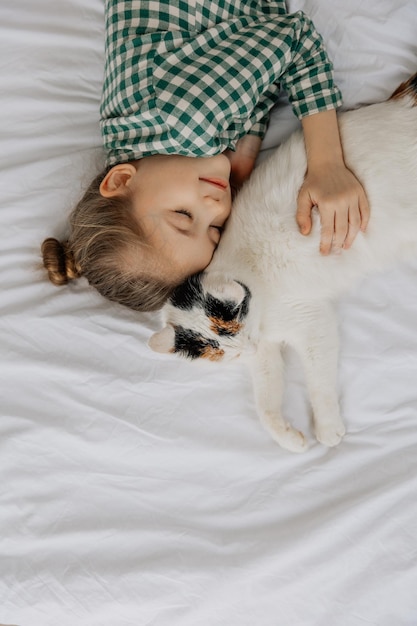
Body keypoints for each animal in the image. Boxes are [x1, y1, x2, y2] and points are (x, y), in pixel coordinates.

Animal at [150, 74, 416, 448]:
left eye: (234, 333)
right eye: (225, 353)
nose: (246, 349)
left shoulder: (313, 323)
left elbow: (318, 381)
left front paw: (327, 428)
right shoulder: (266, 352)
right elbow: (265, 401)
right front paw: (288, 437)